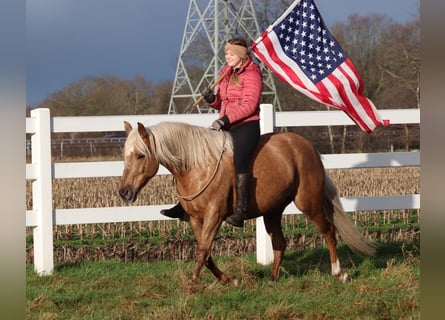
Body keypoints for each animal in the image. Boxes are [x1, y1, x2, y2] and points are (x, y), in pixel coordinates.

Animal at [119, 121, 374, 284]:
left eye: (141, 155)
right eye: (125, 155)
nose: (124, 192)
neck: (196, 166)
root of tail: (307, 146)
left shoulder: (214, 215)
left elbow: (202, 250)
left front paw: (192, 283)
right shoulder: (195, 219)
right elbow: (206, 252)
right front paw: (228, 280)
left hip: (308, 202)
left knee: (329, 231)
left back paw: (339, 273)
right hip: (272, 212)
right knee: (280, 243)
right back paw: (272, 279)